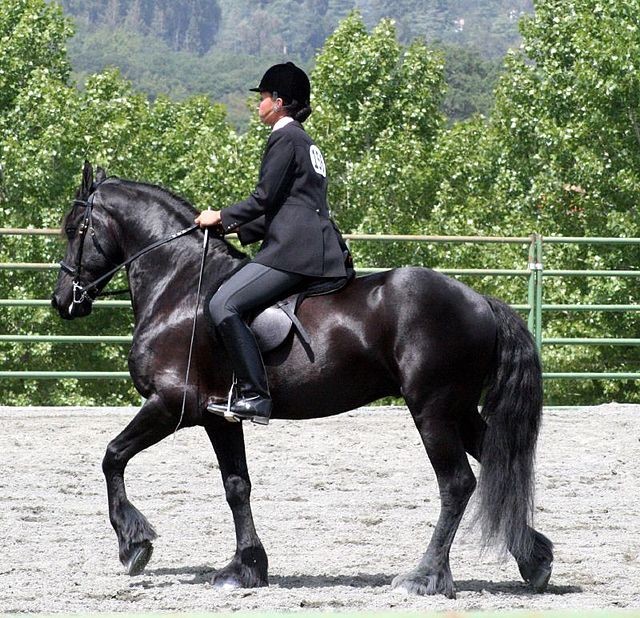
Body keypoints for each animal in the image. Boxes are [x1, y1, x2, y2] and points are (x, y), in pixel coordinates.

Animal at [50, 164, 552, 596]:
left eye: (75, 229)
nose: (62, 301)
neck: (180, 284)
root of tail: (480, 301)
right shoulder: (219, 416)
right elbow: (237, 486)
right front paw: (245, 568)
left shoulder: (173, 403)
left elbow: (112, 457)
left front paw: (134, 544)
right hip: (459, 409)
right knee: (499, 464)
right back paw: (535, 559)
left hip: (433, 410)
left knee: (457, 484)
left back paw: (425, 576)